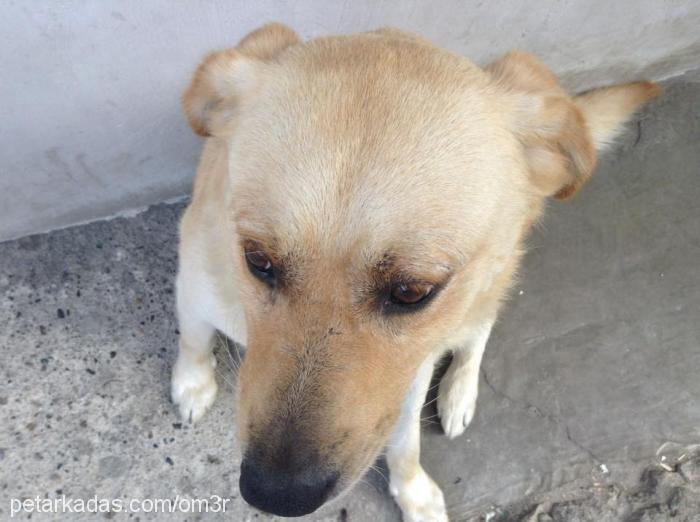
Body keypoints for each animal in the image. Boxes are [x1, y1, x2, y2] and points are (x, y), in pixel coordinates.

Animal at [171, 22, 660, 516]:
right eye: (258, 259)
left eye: (411, 292)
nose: (276, 494)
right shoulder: (192, 287)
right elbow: (193, 340)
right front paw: (192, 384)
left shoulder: (412, 366)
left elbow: (405, 441)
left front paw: (413, 491)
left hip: (489, 284)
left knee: (476, 334)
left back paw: (460, 391)